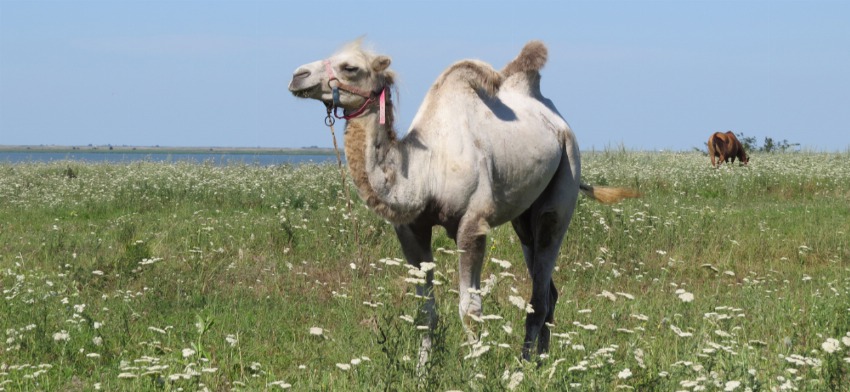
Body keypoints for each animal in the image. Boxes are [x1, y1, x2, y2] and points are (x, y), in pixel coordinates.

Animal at [288, 39, 632, 362]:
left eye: (350, 67)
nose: (297, 75)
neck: (424, 171)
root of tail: (560, 123)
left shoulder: (472, 225)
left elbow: (471, 310)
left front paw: (474, 371)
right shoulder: (411, 230)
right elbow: (425, 312)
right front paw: (422, 372)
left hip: (565, 180)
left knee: (540, 287)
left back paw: (525, 366)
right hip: (524, 218)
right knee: (548, 289)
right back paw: (542, 361)